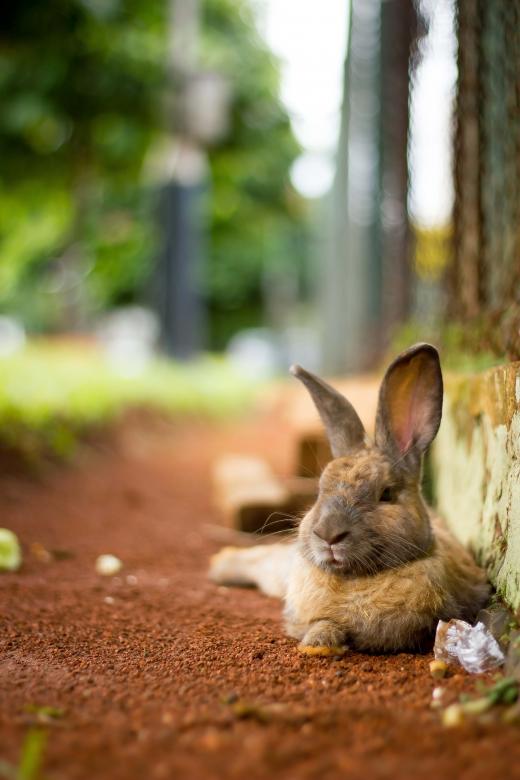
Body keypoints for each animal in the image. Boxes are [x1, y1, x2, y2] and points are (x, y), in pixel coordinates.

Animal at [209, 344, 490, 655]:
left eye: (386, 494)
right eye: (320, 489)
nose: (328, 535)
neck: (355, 578)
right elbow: (320, 624)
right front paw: (317, 643)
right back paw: (219, 566)